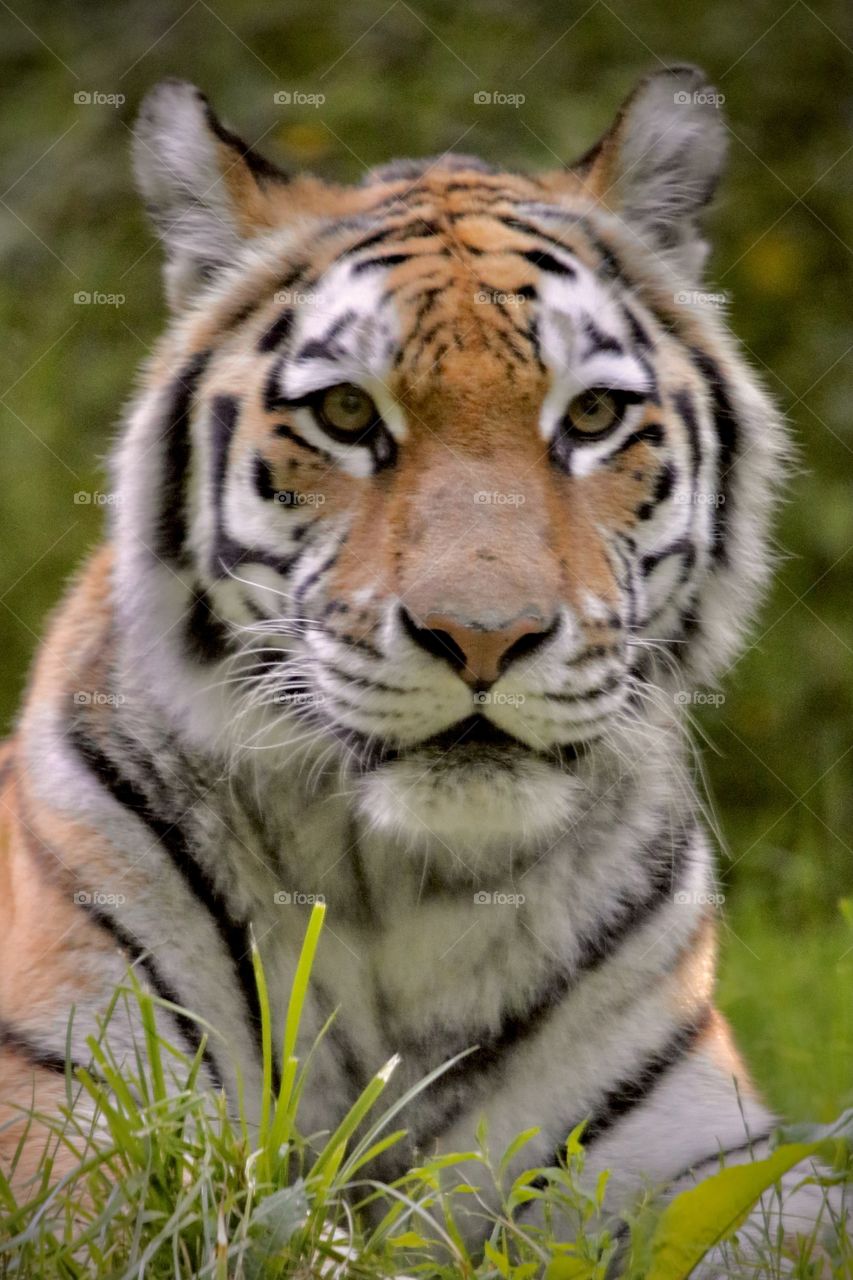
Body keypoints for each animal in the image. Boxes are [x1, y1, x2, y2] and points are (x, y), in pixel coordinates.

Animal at [0, 64, 844, 1274]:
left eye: (592, 414)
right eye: (347, 413)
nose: (484, 635)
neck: (405, 898)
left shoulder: (716, 1158)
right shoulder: (74, 1119)